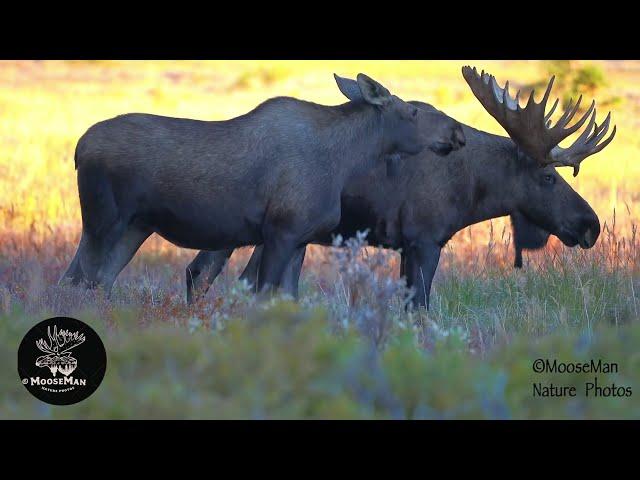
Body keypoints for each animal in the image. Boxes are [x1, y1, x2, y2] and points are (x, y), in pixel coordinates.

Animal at [61, 73, 464, 296]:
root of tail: (78, 148)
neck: (344, 161)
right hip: (103, 222)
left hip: (136, 226)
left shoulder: (301, 239)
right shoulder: (282, 231)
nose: (457, 132)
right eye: (413, 111)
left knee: (98, 280)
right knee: (76, 278)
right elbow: (262, 295)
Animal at [188, 66, 616, 308]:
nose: (590, 225)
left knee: (206, 273)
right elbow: (418, 311)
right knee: (208, 274)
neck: (473, 189)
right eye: (548, 177)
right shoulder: (424, 238)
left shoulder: (404, 245)